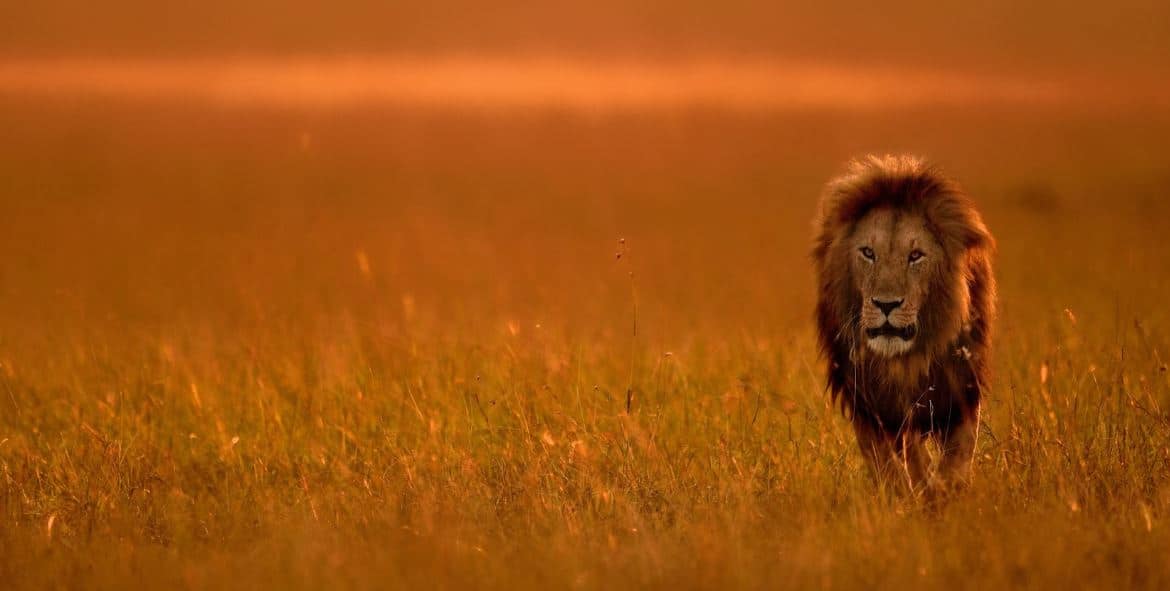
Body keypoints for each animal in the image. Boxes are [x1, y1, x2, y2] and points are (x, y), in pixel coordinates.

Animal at [812, 155, 996, 494]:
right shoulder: (867, 403)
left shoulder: (961, 390)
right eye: (868, 253)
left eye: (916, 256)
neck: (904, 361)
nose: (886, 305)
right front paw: (903, 495)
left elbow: (957, 457)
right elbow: (889, 462)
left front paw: (945, 492)